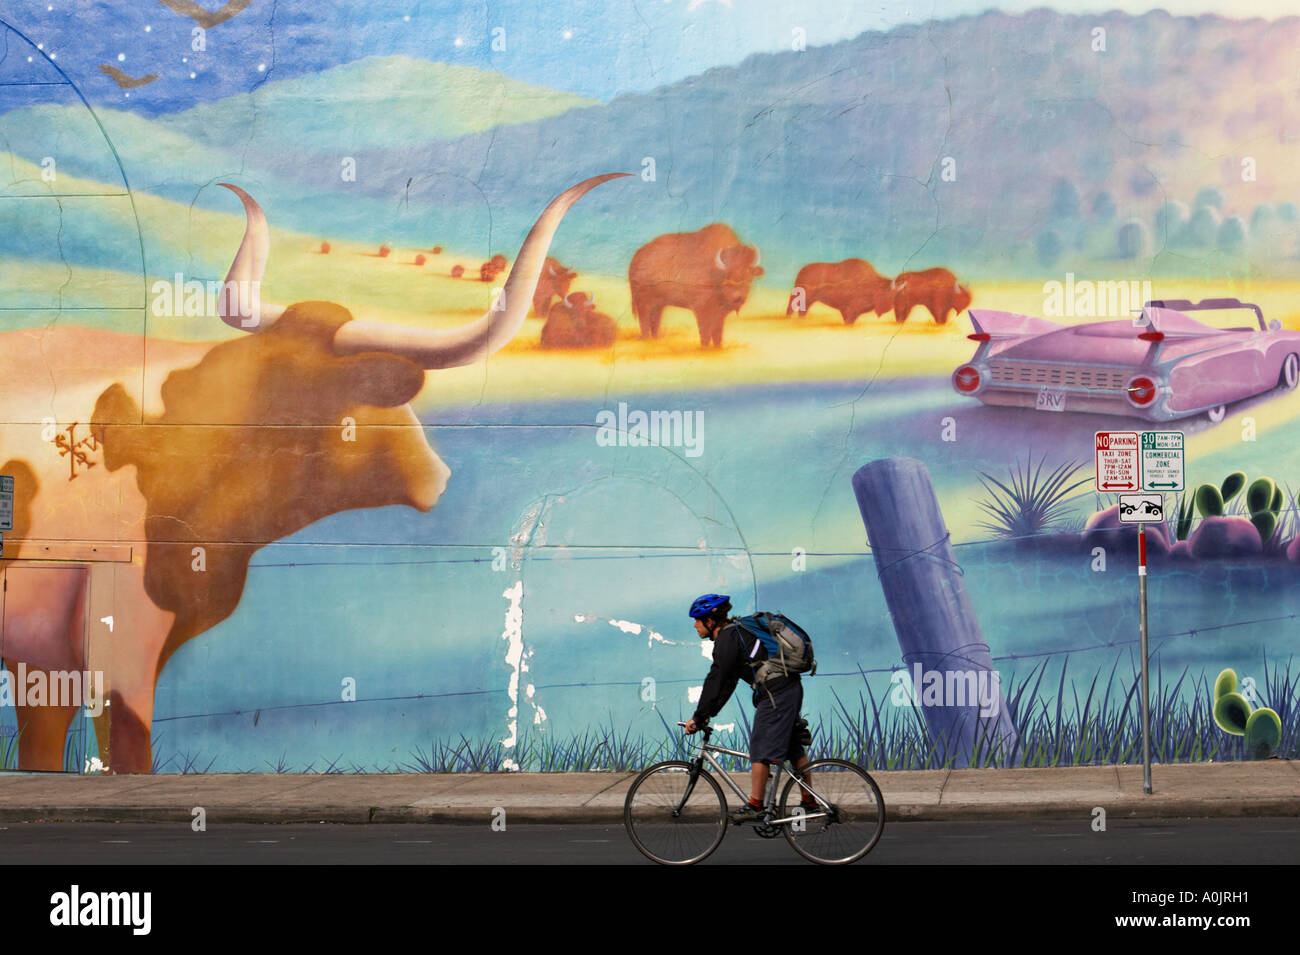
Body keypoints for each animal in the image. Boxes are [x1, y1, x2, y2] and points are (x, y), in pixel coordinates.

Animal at [626, 223, 759, 348]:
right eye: (728, 274)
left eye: (748, 273)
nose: (738, 297)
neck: (716, 272)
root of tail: (636, 258)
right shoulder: (701, 309)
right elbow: (705, 332)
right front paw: (704, 347)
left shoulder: (720, 314)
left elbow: (717, 334)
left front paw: (717, 347)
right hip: (643, 303)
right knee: (644, 321)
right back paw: (646, 339)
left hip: (659, 305)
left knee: (654, 321)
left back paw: (655, 340)